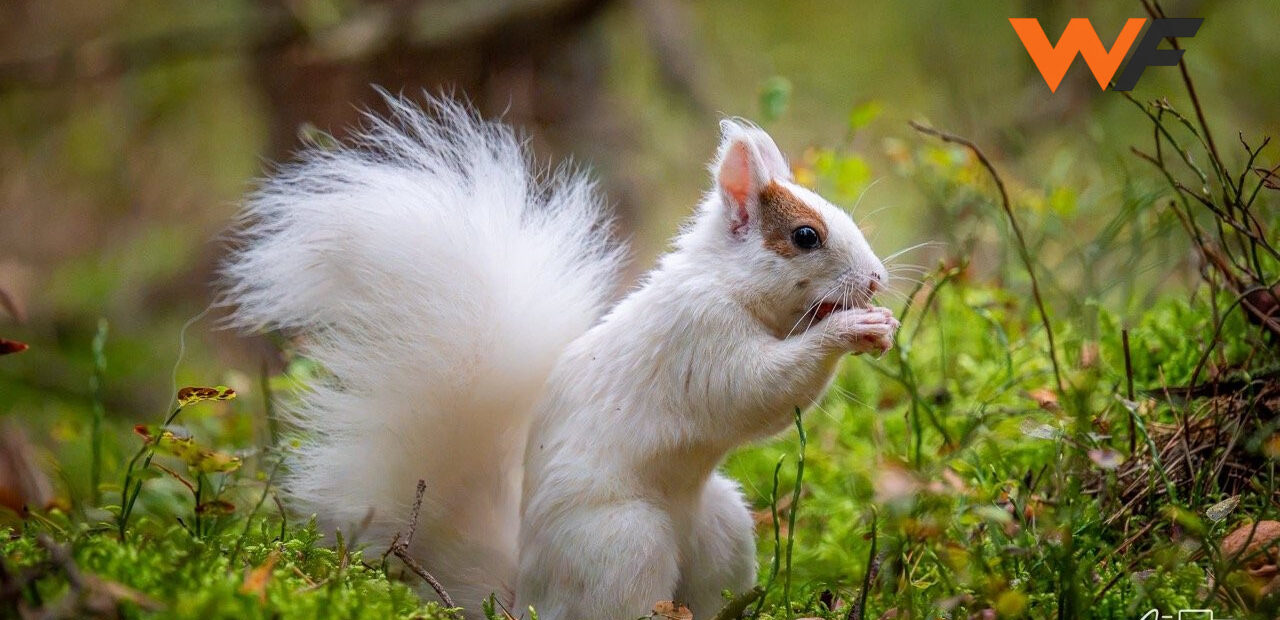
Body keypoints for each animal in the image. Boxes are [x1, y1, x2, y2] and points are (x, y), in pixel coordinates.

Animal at [221, 94, 899, 620]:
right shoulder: (699, 336)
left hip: (723, 532)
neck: (726, 283)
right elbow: (757, 390)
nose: (876, 280)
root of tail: (526, 598)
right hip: (625, 546)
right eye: (805, 236)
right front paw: (851, 329)